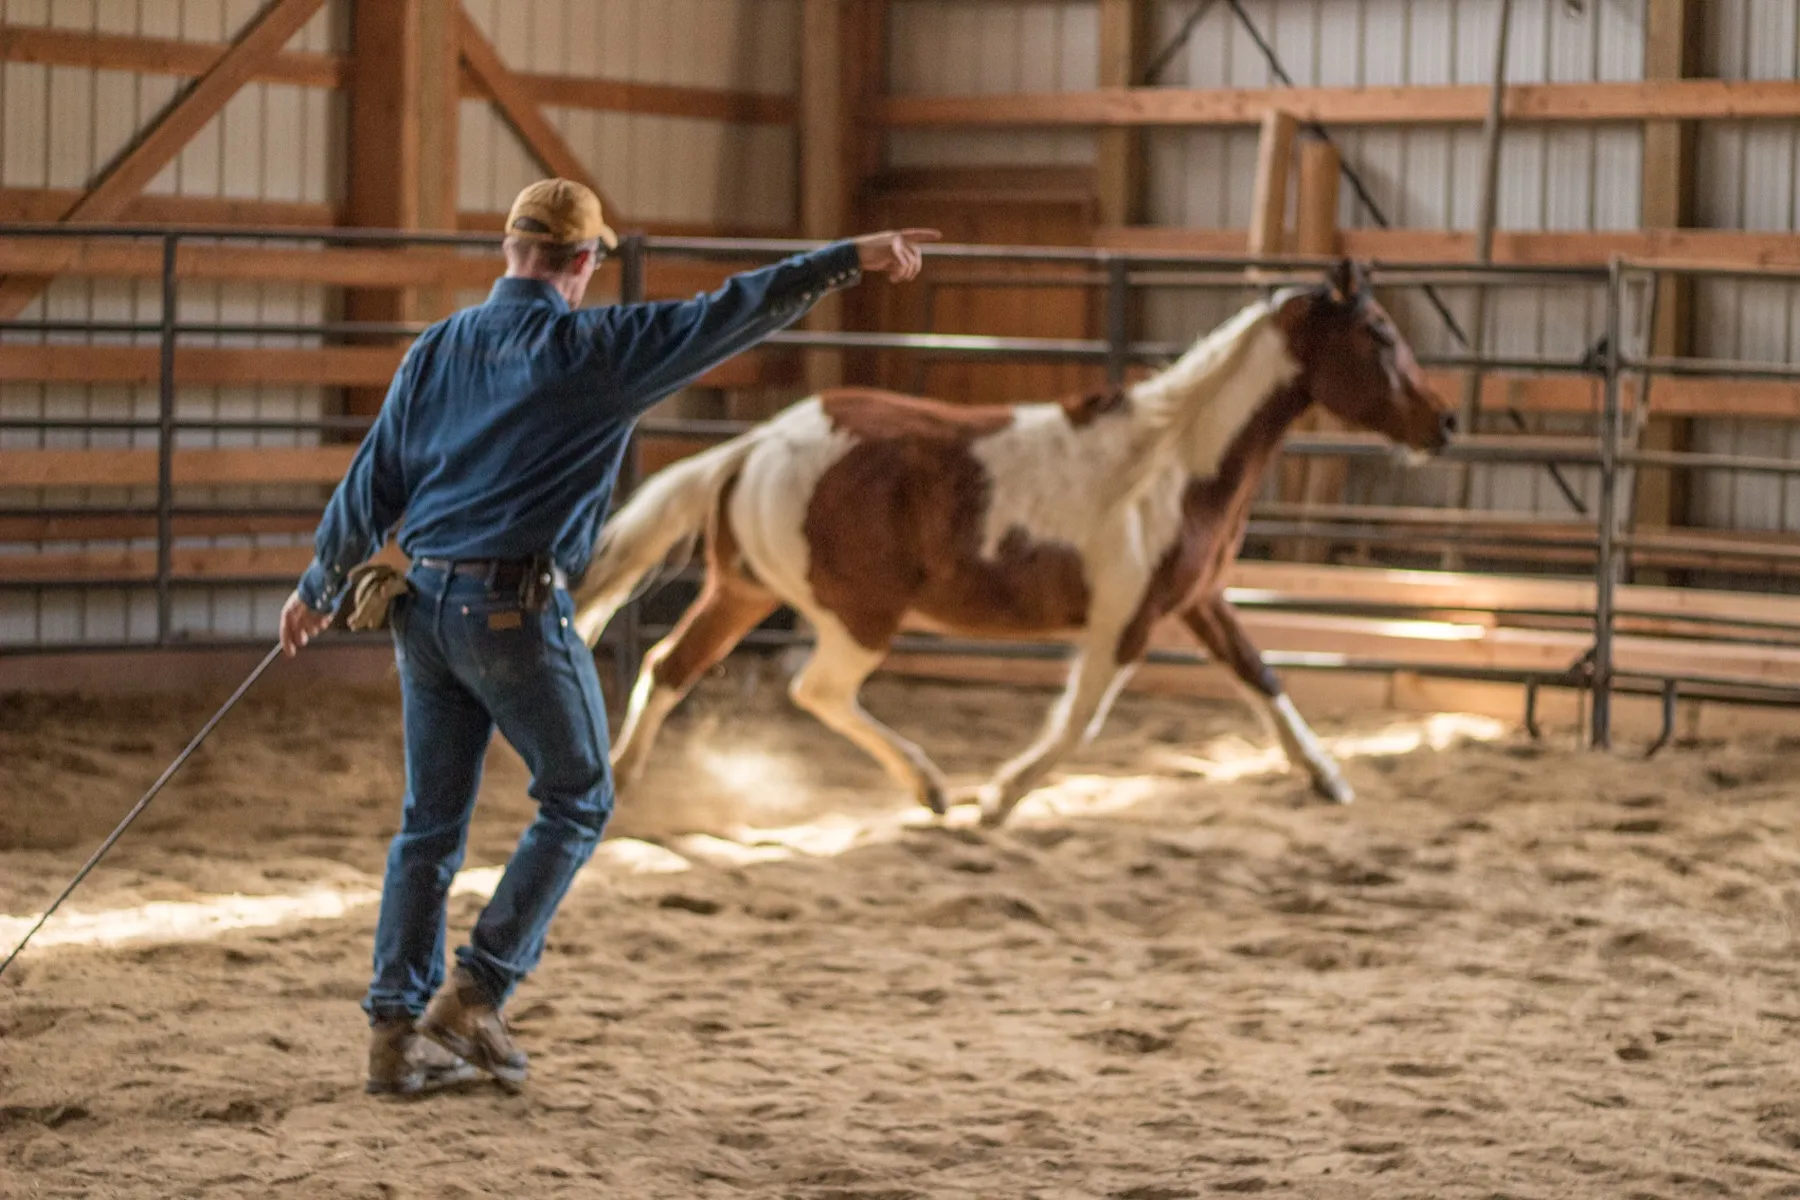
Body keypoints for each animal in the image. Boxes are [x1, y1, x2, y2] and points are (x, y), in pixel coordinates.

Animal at [571, 260, 1455, 827]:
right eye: (1380, 333)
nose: (1443, 423)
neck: (1172, 463)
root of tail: (751, 448)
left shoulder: (1198, 600)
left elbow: (1262, 677)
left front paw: (1328, 778)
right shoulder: (1125, 623)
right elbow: (1079, 723)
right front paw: (999, 798)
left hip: (743, 591)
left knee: (669, 667)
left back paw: (627, 782)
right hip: (858, 617)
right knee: (815, 690)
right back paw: (932, 788)